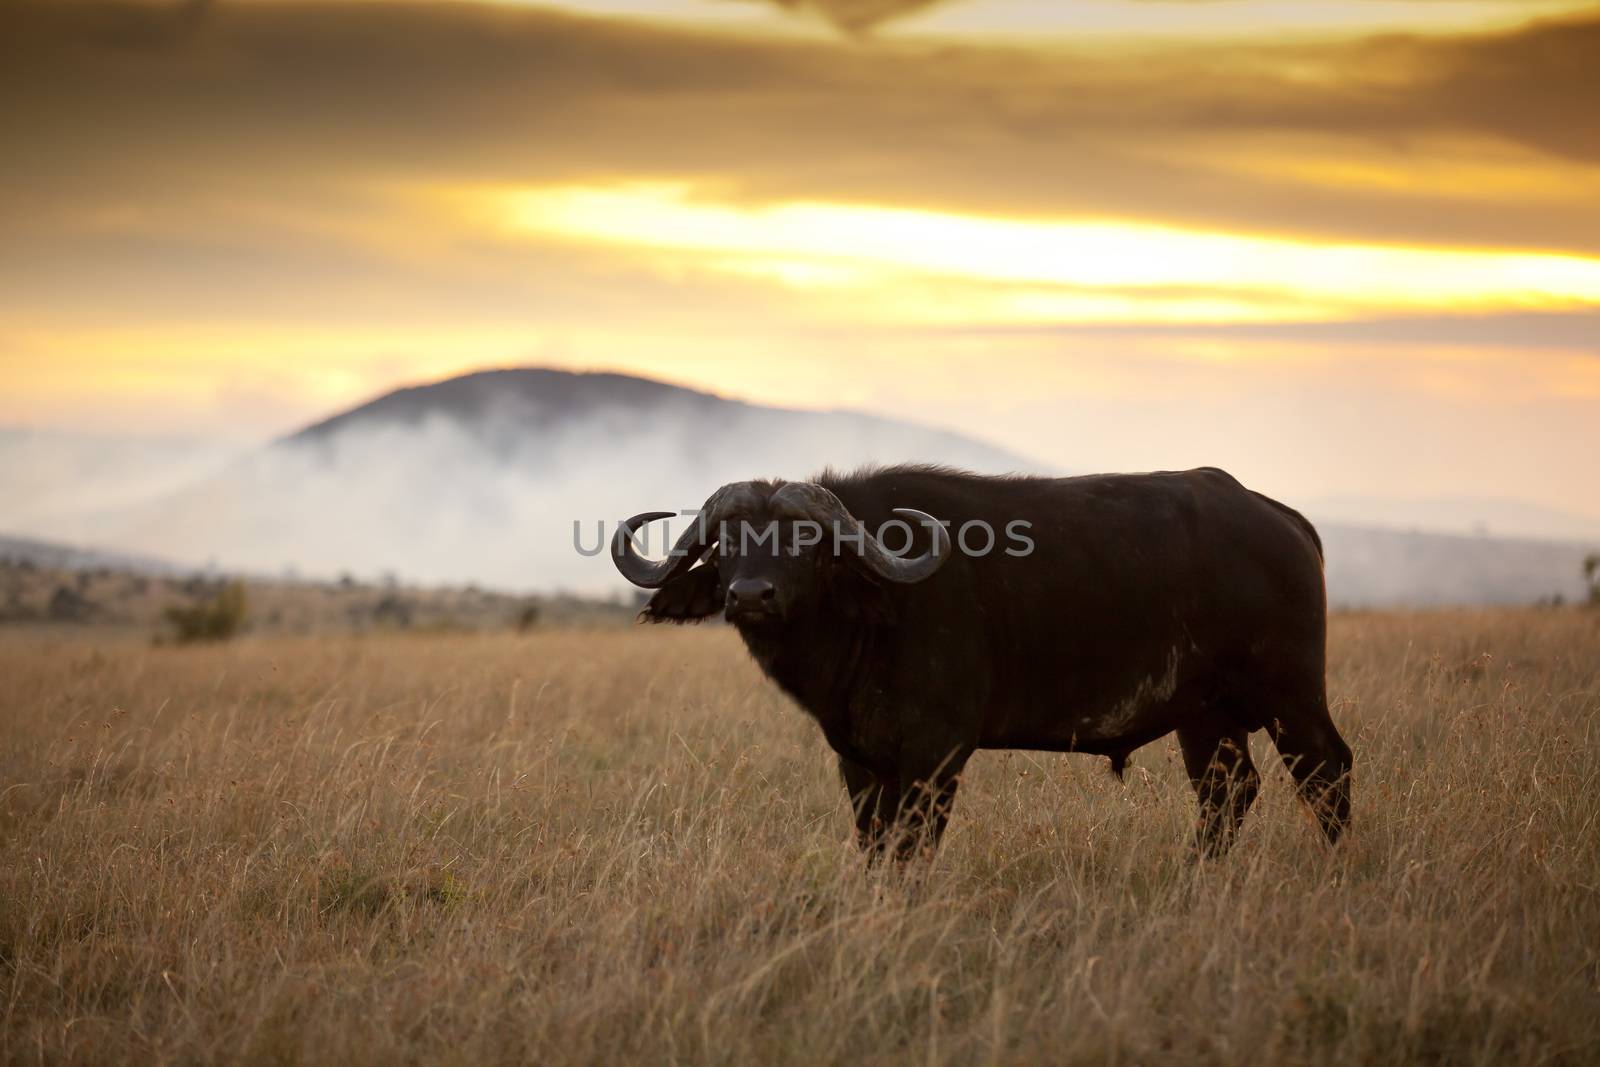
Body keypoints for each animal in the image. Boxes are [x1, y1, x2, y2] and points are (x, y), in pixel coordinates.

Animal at [611, 467, 1350, 857]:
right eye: (729, 543)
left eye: (803, 541)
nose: (749, 596)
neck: (875, 615)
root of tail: (1280, 519)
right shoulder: (860, 762)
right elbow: (878, 846)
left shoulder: (937, 755)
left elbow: (914, 846)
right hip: (1206, 717)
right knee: (1228, 793)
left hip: (1291, 697)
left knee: (1327, 772)